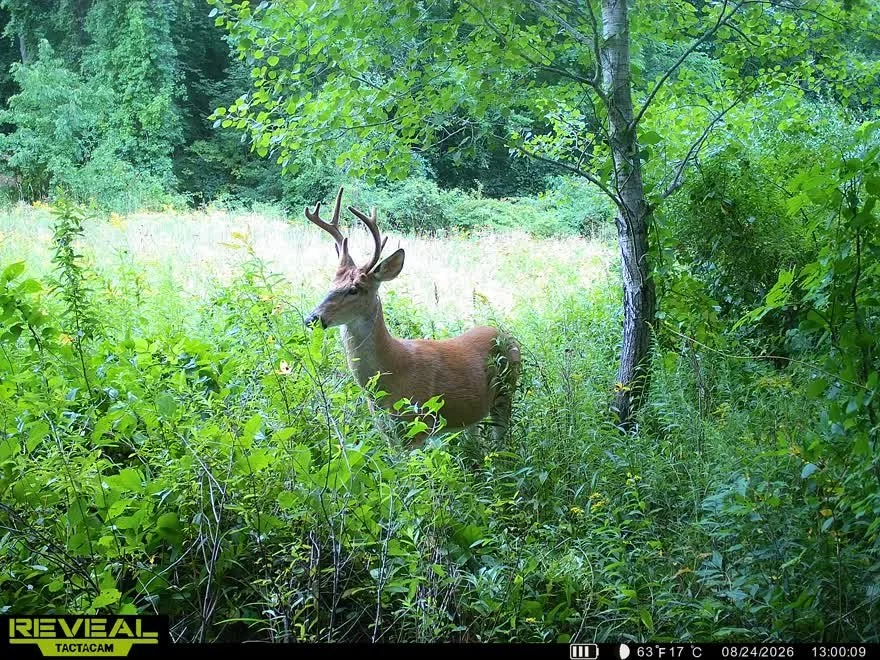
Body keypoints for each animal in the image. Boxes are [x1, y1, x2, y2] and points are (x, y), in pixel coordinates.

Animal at [302, 187, 521, 448]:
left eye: (354, 289)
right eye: (331, 284)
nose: (312, 318)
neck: (392, 369)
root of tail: (507, 335)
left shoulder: (417, 425)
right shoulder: (386, 430)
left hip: (506, 393)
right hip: (473, 411)